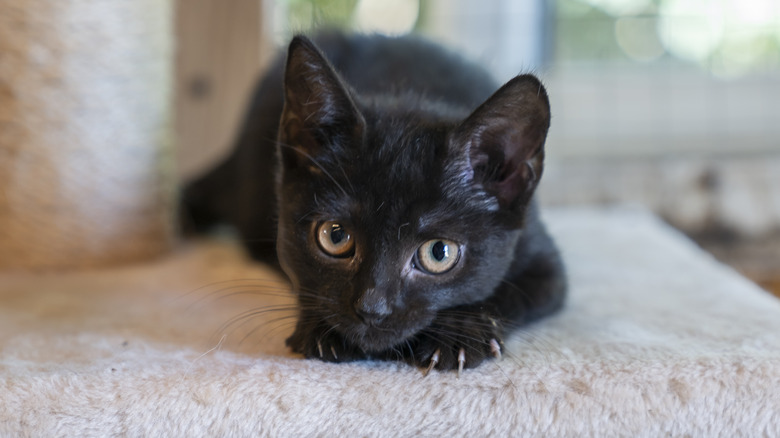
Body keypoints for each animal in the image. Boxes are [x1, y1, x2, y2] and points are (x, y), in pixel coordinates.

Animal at [187, 33, 568, 372]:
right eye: (335, 236)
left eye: (439, 252)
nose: (373, 309)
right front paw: (322, 330)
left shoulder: (545, 262)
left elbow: (509, 293)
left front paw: (459, 333)